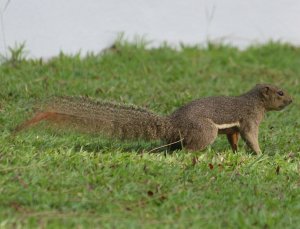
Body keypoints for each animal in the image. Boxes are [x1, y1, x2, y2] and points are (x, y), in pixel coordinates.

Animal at [15, 83, 292, 155]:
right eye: (280, 93)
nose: (291, 100)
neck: (254, 101)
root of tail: (172, 123)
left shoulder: (234, 127)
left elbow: (235, 139)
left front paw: (236, 153)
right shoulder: (249, 120)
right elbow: (250, 137)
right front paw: (260, 154)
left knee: (172, 146)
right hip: (205, 131)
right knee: (188, 149)